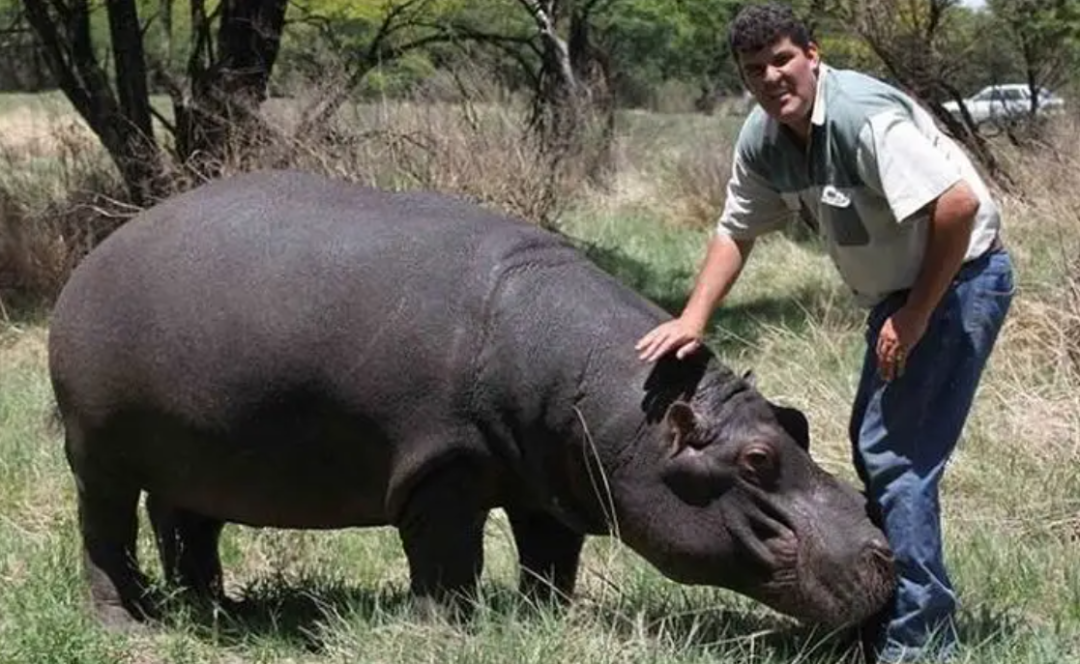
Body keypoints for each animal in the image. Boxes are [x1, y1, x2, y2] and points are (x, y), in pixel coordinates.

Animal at [48, 168, 894, 630]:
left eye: (797, 423)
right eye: (755, 460)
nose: (884, 553)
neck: (632, 415)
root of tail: (95, 256)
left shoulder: (552, 480)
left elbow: (551, 559)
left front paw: (549, 618)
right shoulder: (441, 468)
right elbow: (450, 557)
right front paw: (446, 627)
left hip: (199, 454)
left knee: (188, 526)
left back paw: (219, 611)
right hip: (97, 455)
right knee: (105, 534)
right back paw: (128, 626)